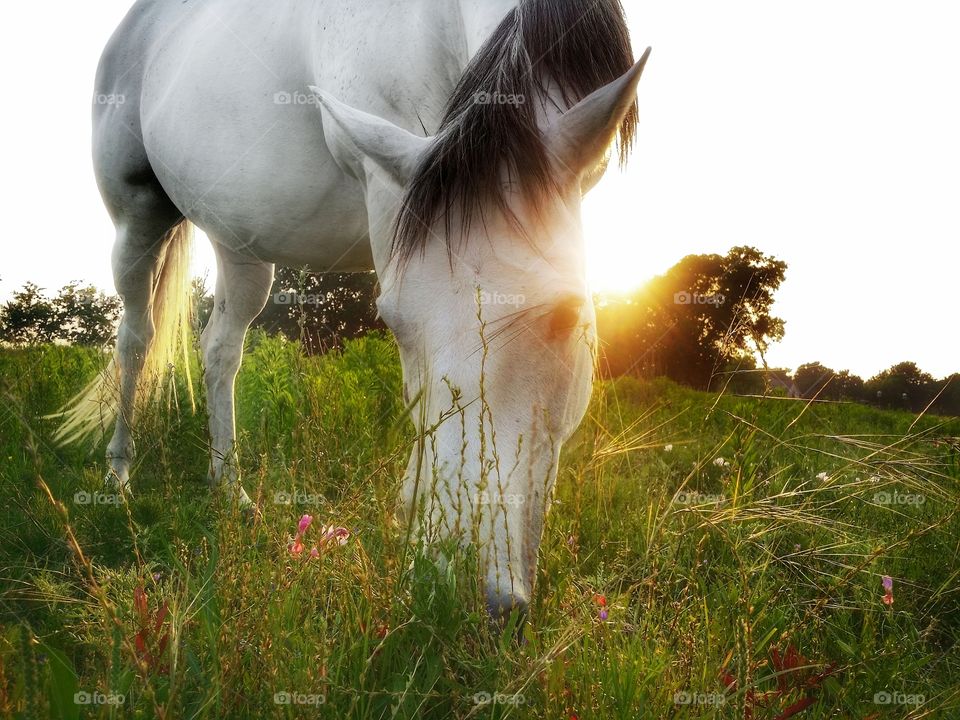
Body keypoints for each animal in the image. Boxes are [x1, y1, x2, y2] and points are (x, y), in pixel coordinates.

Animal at [62, 0, 652, 620]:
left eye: (570, 317)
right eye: (392, 320)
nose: (465, 594)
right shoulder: (385, 187)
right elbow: (419, 399)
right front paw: (412, 529)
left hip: (237, 241)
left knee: (220, 350)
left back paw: (230, 489)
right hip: (138, 216)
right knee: (136, 339)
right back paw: (118, 475)